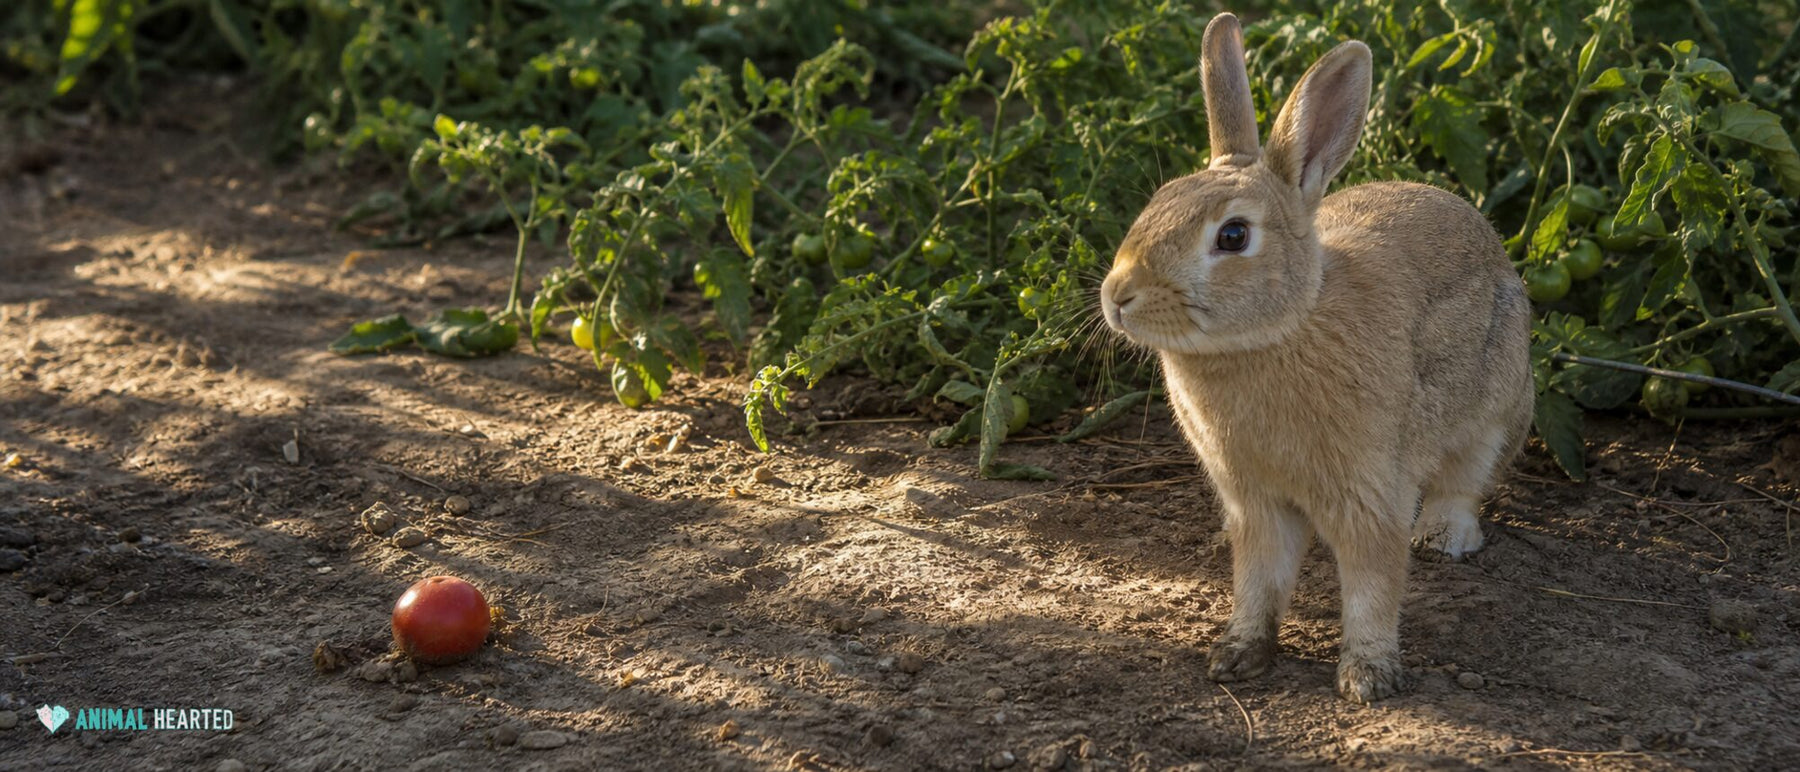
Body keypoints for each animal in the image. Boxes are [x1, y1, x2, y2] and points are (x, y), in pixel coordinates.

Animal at [1097, 12, 1533, 703]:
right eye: (1156, 202)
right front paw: (1238, 654)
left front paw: (1368, 677)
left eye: (1233, 236)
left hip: (1496, 403)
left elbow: (1373, 587)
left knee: (1466, 479)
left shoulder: (1369, 494)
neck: (1280, 329)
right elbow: (1259, 580)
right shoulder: (1255, 502)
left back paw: (1444, 537)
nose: (1118, 296)